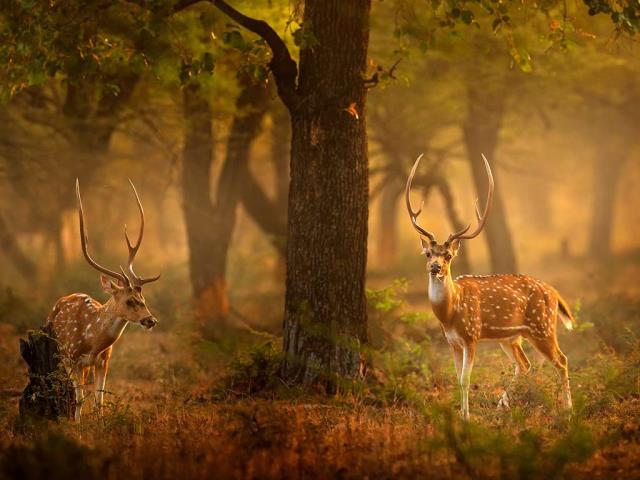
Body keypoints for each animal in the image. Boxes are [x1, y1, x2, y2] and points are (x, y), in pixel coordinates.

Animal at [46, 179, 160, 421]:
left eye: (143, 298)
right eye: (129, 300)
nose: (151, 320)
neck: (93, 341)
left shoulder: (105, 360)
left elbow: (99, 401)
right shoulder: (73, 357)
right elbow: (79, 399)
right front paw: (78, 426)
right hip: (58, 353)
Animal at [405, 154, 574, 420]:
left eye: (448, 256)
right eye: (428, 253)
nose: (435, 267)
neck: (449, 313)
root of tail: (555, 293)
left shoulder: (471, 336)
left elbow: (465, 379)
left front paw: (465, 417)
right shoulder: (452, 342)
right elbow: (457, 379)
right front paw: (463, 413)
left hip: (543, 327)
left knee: (561, 359)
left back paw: (568, 409)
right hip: (511, 336)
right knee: (524, 364)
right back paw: (502, 404)